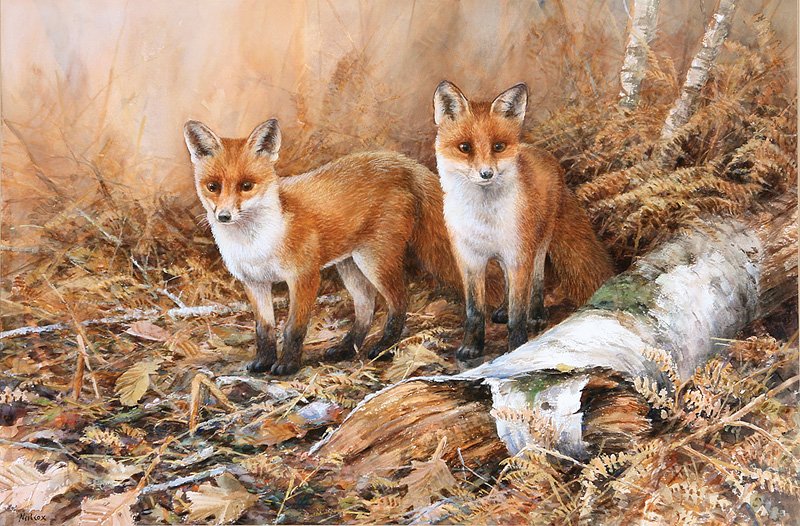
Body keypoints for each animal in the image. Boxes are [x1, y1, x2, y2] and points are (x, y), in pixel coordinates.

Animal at [183, 118, 464, 375]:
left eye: (246, 186)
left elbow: (293, 328)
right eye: (213, 187)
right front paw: (263, 361)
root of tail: (398, 161)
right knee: (366, 309)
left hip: (374, 261)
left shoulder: (304, 276)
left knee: (400, 302)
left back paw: (384, 348)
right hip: (350, 266)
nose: (224, 216)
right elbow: (264, 329)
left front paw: (287, 365)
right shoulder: (254, 283)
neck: (257, 245)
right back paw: (346, 348)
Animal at [433, 80, 614, 359]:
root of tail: (543, 153)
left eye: (498, 146)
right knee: (508, 284)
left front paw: (517, 347)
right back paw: (502, 310)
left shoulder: (519, 255)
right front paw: (471, 347)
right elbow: (474, 312)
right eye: (465, 147)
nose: (486, 174)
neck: (484, 219)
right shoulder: (470, 260)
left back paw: (536, 314)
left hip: (538, 245)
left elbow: (518, 315)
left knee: (536, 282)